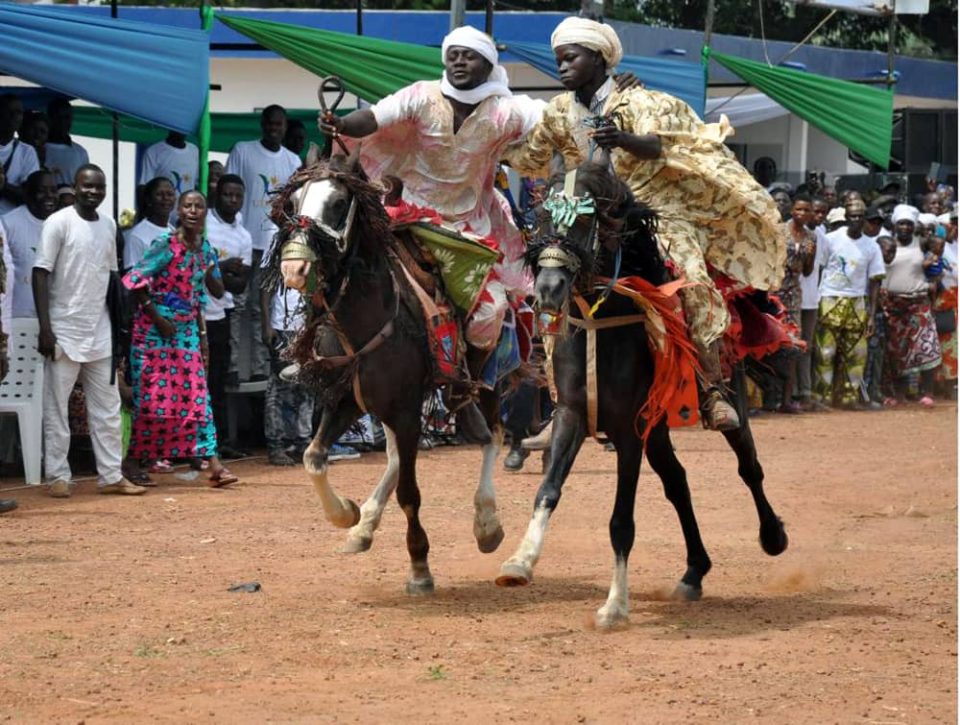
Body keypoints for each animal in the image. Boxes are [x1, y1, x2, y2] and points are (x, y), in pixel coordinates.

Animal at [268, 148, 510, 592]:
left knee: (492, 437)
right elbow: (313, 457)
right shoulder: (346, 399)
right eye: (292, 203)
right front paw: (345, 513)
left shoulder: (403, 407)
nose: (294, 268)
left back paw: (486, 523)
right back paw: (362, 526)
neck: (365, 318)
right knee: (399, 455)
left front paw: (419, 566)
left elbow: (410, 494)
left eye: (338, 203)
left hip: (484, 381)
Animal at [496, 164, 788, 628]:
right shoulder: (573, 416)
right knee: (678, 483)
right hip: (659, 430)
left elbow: (621, 522)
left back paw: (773, 535)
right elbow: (547, 491)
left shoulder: (629, 432)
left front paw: (615, 605)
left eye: (585, 220)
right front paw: (520, 563)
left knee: (749, 468)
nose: (548, 287)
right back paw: (694, 572)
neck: (602, 322)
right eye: (541, 218)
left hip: (728, 406)